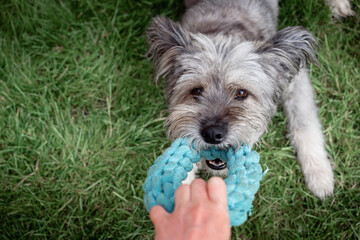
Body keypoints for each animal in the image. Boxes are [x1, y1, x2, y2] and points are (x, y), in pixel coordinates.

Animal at [146, 0, 352, 199]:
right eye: (196, 91)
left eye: (241, 93)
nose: (212, 134)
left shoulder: (296, 81)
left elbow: (305, 124)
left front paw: (320, 174)